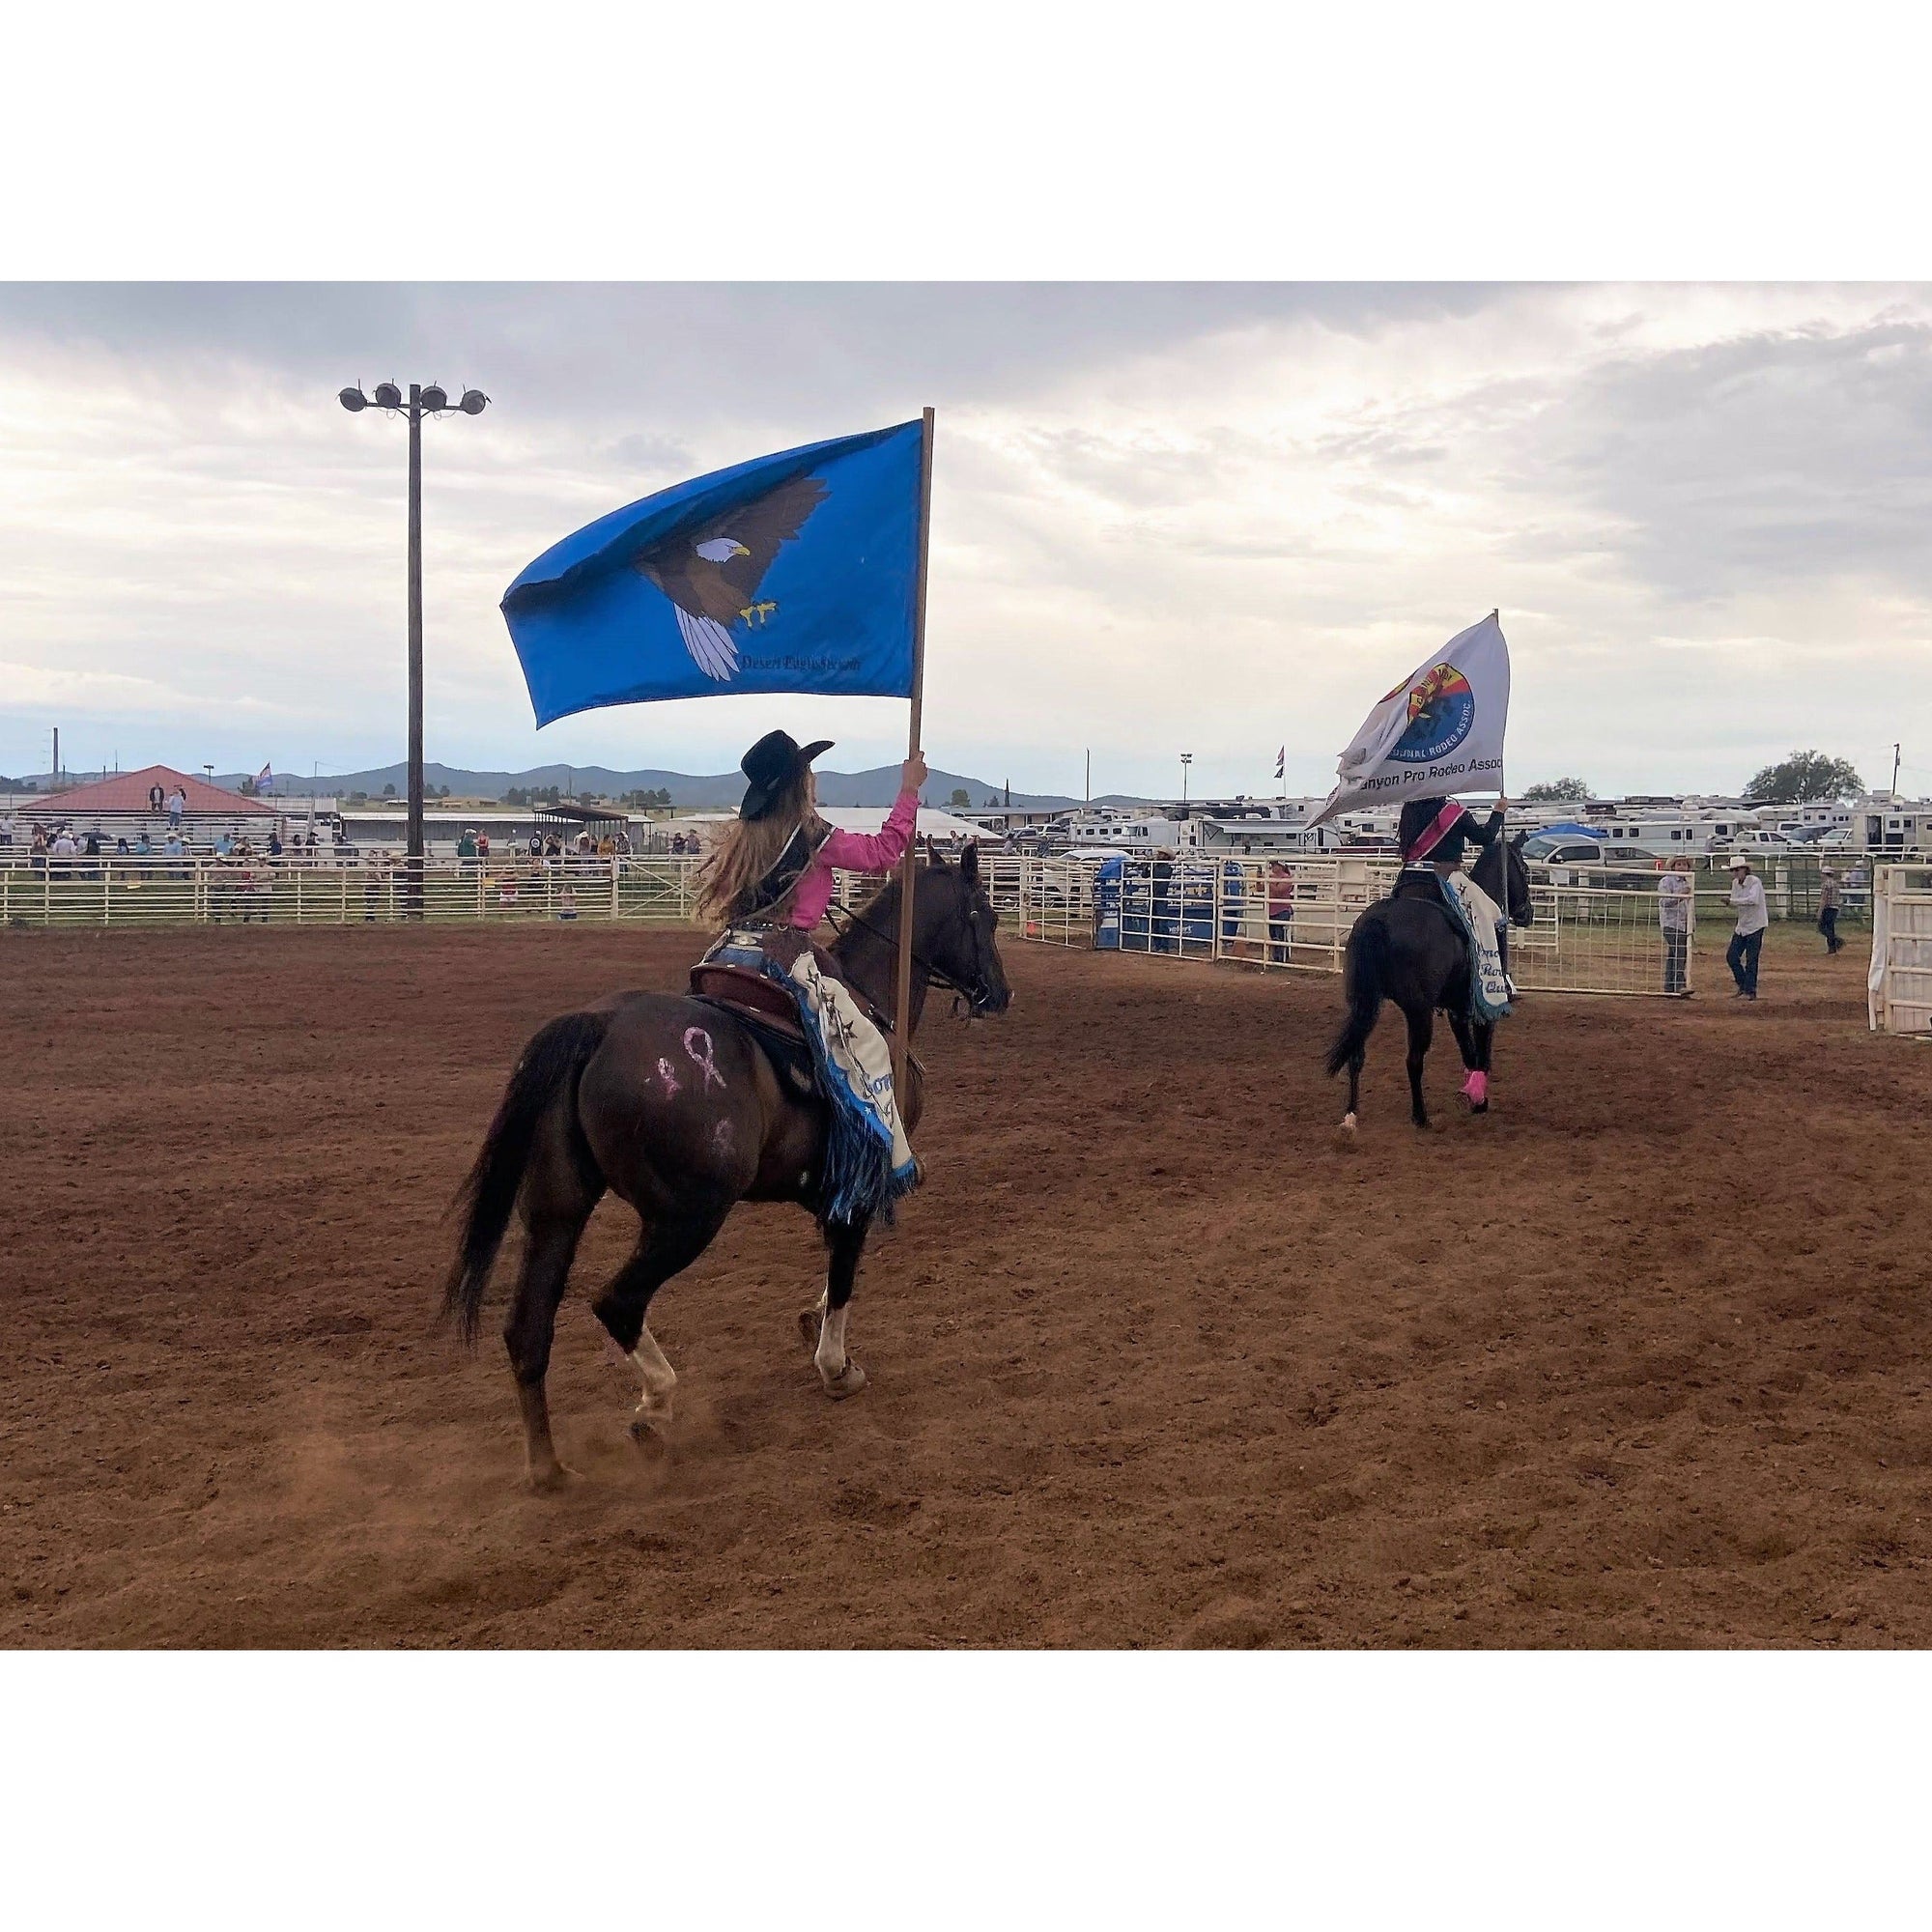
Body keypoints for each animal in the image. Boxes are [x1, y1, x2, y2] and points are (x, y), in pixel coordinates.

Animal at [440, 846, 1012, 1492]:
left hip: (556, 1214)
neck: (874, 993)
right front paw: (836, 1366)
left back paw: (551, 1469)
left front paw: (810, 1319)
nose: (1000, 992)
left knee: (528, 1331)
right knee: (617, 1302)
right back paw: (654, 1409)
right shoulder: (861, 1182)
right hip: (688, 1216)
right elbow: (846, 1268)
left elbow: (836, 1261)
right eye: (987, 917)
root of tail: (598, 1027)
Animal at [1321, 831, 1530, 1128]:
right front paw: (1479, 1099)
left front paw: (1472, 1095)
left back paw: (1351, 1115)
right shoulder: (1482, 1003)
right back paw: (1420, 1116)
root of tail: (1379, 921)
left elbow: (1468, 1051)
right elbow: (1482, 1048)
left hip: (1364, 1003)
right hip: (1418, 1011)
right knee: (1413, 1060)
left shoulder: (1457, 1007)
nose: (1527, 912)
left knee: (1356, 1055)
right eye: (1524, 869)